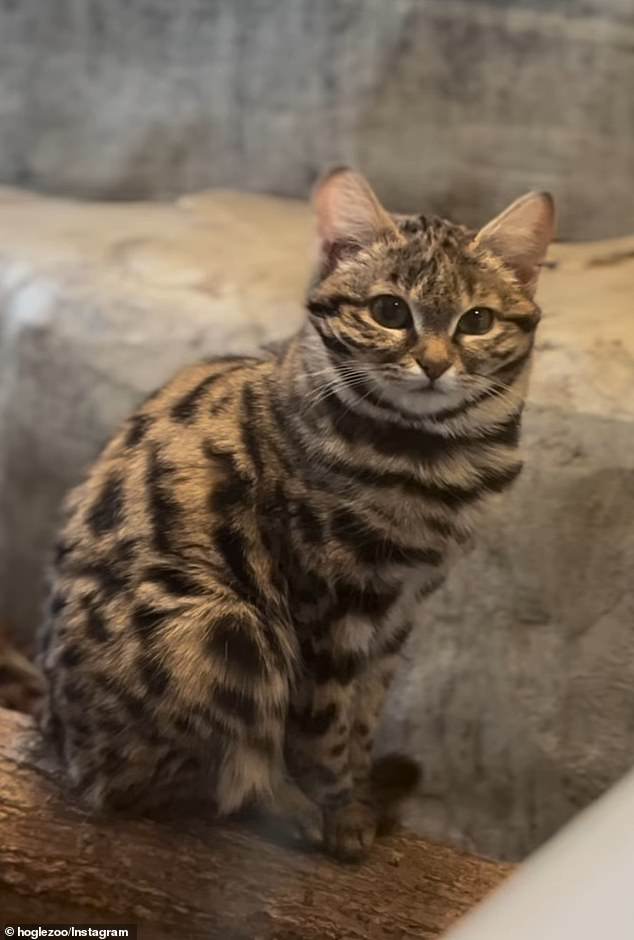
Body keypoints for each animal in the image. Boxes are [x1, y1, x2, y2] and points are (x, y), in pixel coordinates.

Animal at [38, 169, 552, 860]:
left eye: (477, 320)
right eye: (390, 311)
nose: (436, 364)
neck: (426, 457)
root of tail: (63, 743)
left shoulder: (398, 610)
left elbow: (365, 713)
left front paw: (358, 792)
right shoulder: (328, 603)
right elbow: (323, 724)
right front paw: (337, 811)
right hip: (223, 629)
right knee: (189, 778)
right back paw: (280, 801)